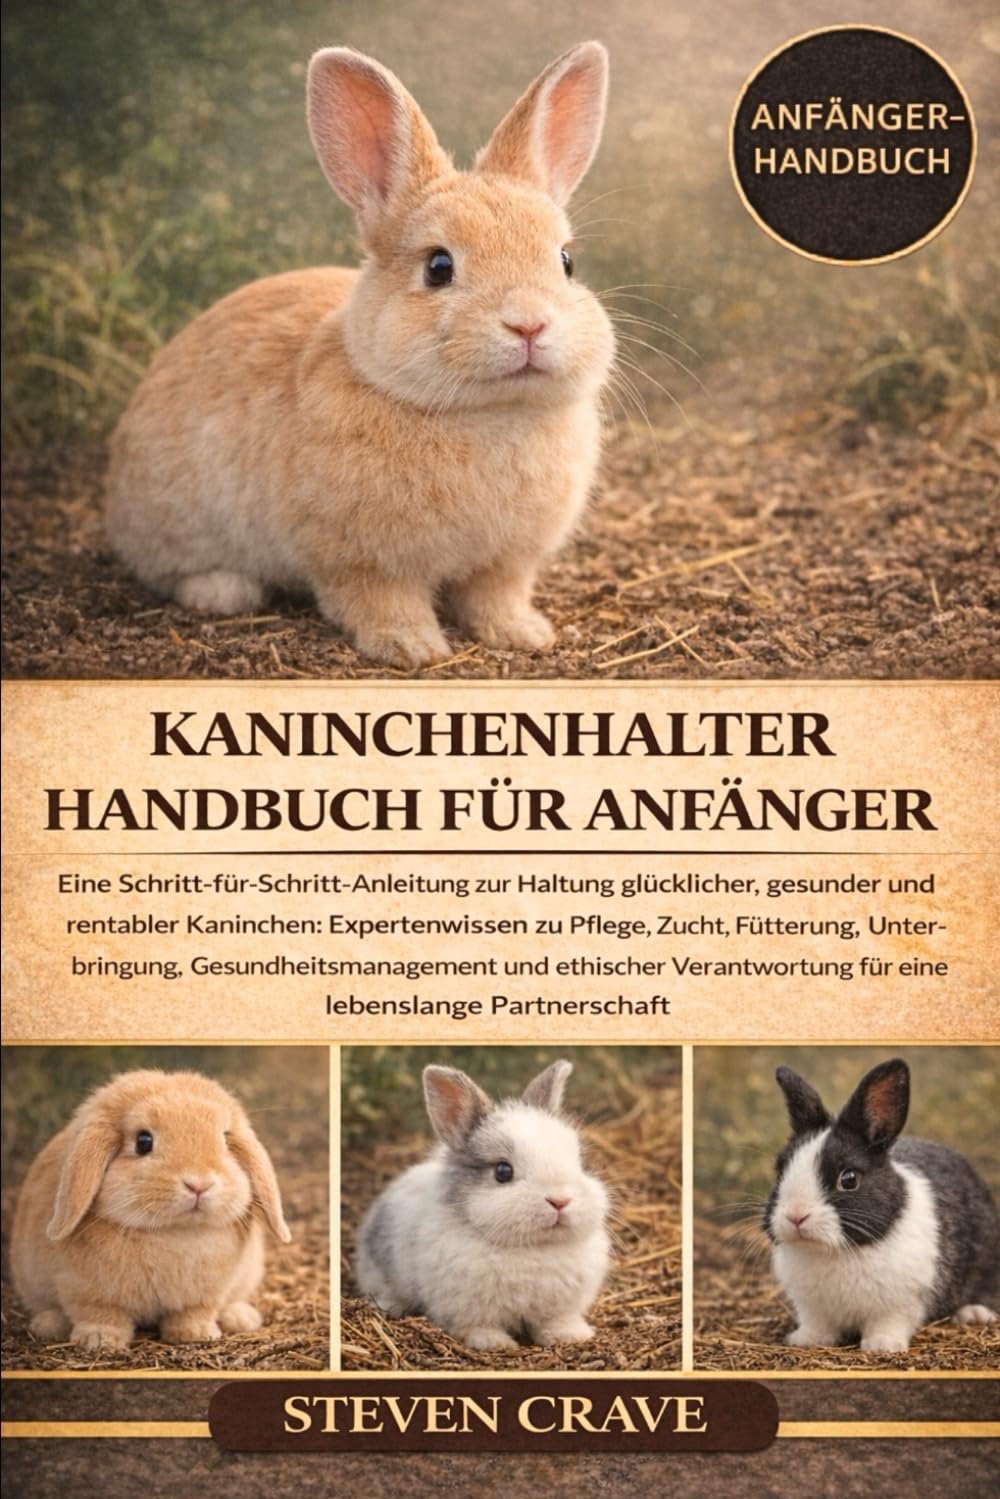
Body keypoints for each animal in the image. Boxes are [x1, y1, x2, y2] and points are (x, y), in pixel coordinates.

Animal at [10, 1069, 292, 1352]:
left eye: (225, 1139)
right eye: (143, 1142)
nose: (199, 1184)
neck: (174, 1233)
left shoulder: (205, 1295)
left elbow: (195, 1313)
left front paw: (196, 1333)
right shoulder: (84, 1290)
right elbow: (99, 1314)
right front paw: (99, 1340)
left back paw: (241, 1318)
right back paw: (48, 1325)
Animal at [105, 42, 616, 668]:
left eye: (566, 261)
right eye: (438, 267)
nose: (529, 322)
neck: (489, 413)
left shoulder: (506, 562)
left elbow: (496, 596)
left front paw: (524, 634)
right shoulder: (358, 561)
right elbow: (380, 602)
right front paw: (413, 648)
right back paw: (224, 592)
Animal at [355, 1059, 610, 1350]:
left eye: (578, 1161)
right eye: (503, 1171)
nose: (560, 1200)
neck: (532, 1248)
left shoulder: (559, 1307)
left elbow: (555, 1322)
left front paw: (572, 1335)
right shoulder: (467, 1307)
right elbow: (478, 1326)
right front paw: (495, 1343)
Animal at [764, 1057, 1000, 1353]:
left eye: (849, 1179)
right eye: (780, 1169)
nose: (796, 1216)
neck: (834, 1251)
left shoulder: (901, 1303)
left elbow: (888, 1323)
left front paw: (881, 1345)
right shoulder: (812, 1307)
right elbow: (818, 1324)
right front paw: (805, 1340)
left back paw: (974, 1313)